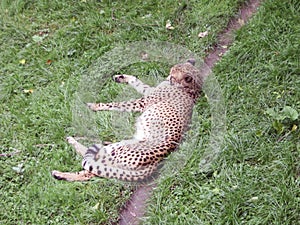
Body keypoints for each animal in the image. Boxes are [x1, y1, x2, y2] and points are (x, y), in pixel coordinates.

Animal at [52, 59, 205, 182]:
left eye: (173, 75)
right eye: (171, 72)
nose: (168, 77)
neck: (189, 89)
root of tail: (157, 162)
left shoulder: (142, 102)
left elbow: (118, 104)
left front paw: (95, 106)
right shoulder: (147, 93)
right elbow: (137, 82)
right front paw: (121, 77)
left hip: (116, 150)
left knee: (92, 162)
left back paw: (71, 145)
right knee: (91, 171)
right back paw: (60, 174)